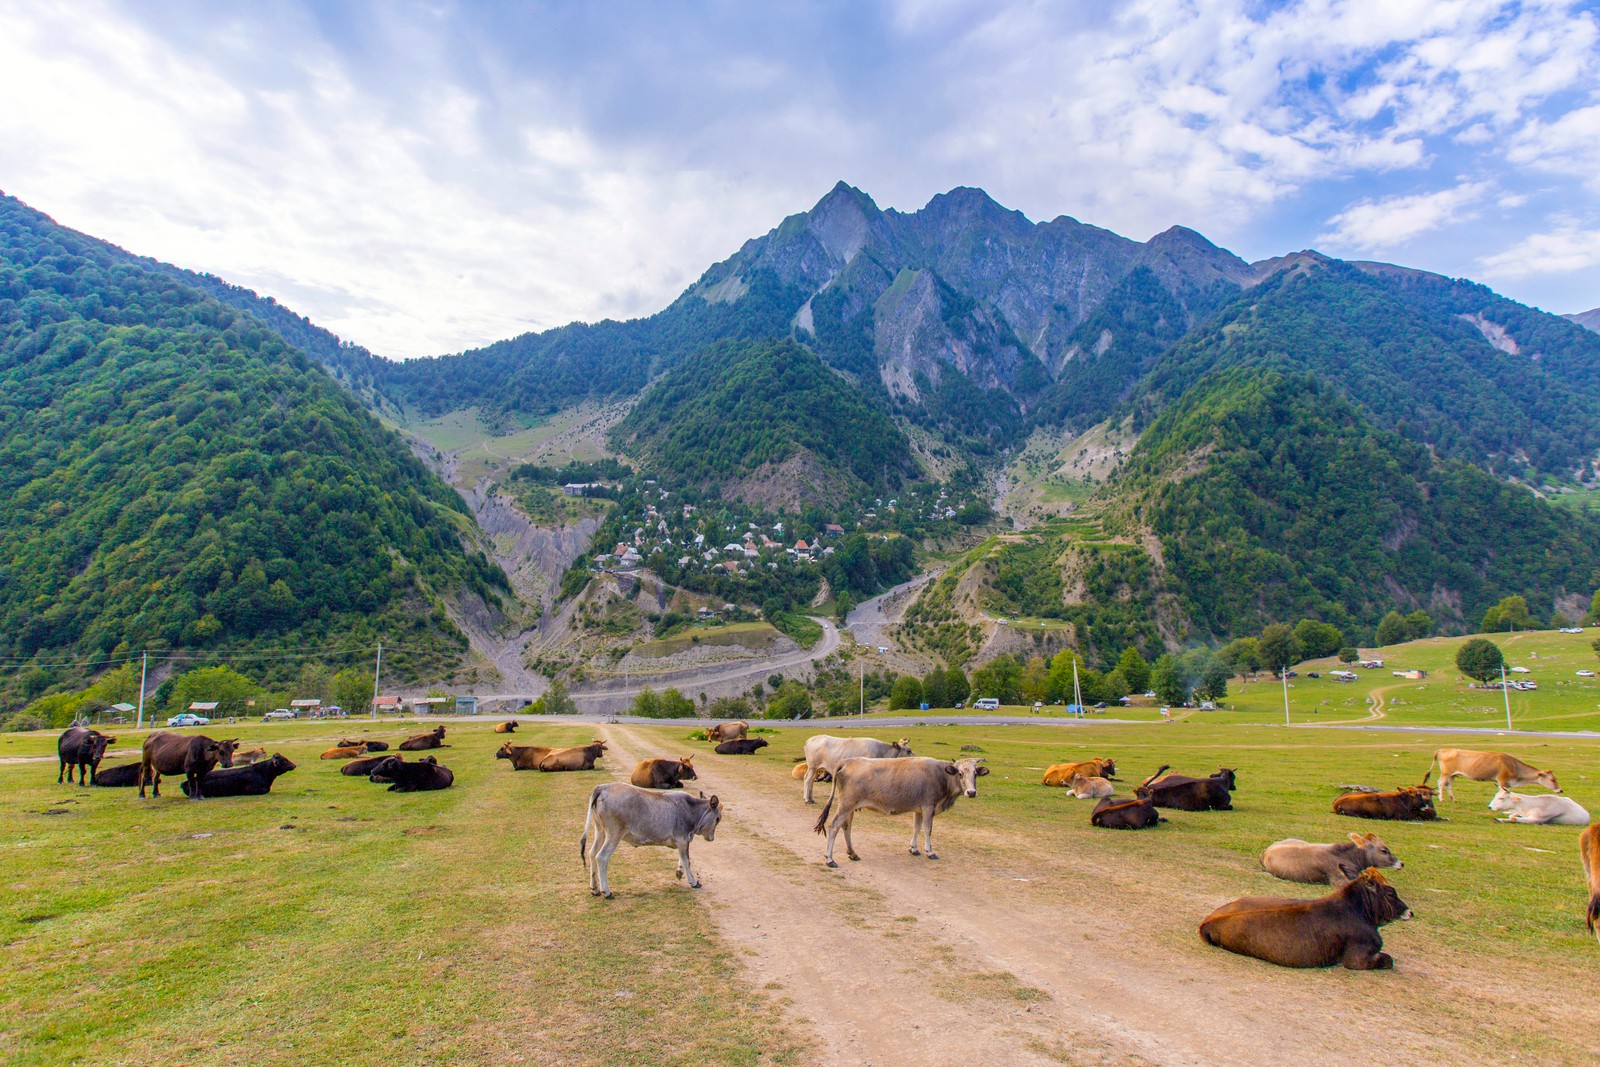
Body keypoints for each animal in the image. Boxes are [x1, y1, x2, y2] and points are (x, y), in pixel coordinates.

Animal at [579, 780, 723, 895]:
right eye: (718, 819)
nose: (712, 837)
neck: (691, 809)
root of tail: (603, 787)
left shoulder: (682, 841)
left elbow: (682, 859)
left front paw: (679, 872)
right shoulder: (683, 839)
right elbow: (687, 860)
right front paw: (693, 881)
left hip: (600, 831)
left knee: (592, 853)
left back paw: (594, 888)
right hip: (614, 834)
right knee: (601, 857)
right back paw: (606, 891)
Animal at [819, 755, 979, 863]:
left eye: (975, 774)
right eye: (960, 773)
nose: (971, 792)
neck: (941, 774)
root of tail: (846, 761)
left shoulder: (919, 809)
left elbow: (916, 827)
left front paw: (914, 849)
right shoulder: (929, 807)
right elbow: (928, 829)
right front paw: (930, 852)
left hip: (850, 808)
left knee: (846, 827)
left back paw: (852, 853)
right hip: (846, 806)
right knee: (834, 826)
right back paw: (830, 859)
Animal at [1203, 870, 1414, 972]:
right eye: (1390, 892)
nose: (1410, 912)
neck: (1358, 910)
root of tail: (1209, 921)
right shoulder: (1357, 959)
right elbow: (1388, 959)